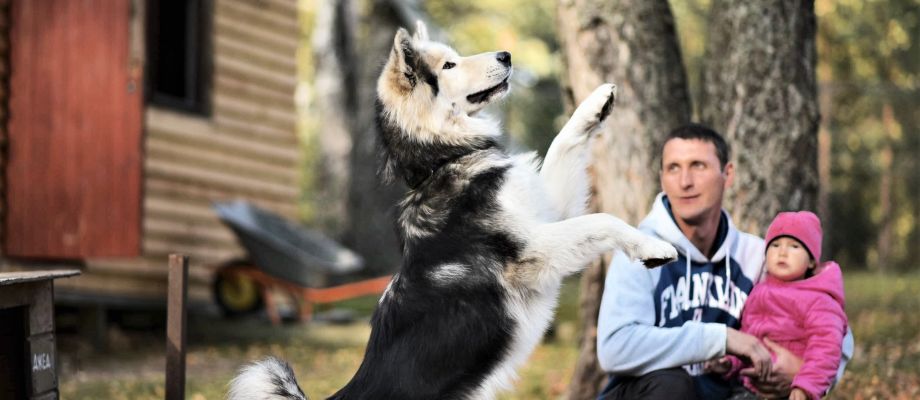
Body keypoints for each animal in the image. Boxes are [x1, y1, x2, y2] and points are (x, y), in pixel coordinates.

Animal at [228, 21, 676, 400]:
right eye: (449, 65)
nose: (506, 55)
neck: (443, 159)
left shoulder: (546, 212)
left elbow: (562, 144)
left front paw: (596, 103)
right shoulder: (532, 253)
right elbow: (602, 219)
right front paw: (651, 247)